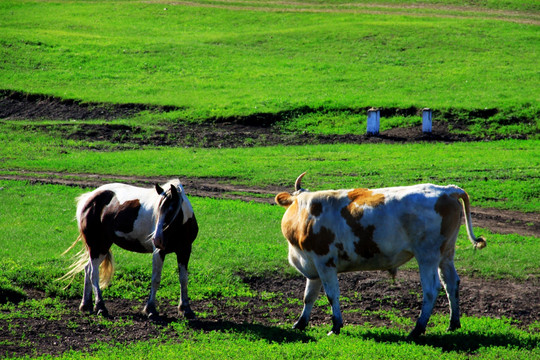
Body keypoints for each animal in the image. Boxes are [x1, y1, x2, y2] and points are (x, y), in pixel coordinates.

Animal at [276, 173, 488, 336]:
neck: (304, 212)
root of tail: (447, 190)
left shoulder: (325, 262)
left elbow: (331, 295)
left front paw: (335, 326)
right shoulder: (313, 265)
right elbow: (309, 296)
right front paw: (300, 323)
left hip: (427, 255)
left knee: (431, 289)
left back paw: (418, 329)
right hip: (446, 254)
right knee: (451, 283)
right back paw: (453, 323)